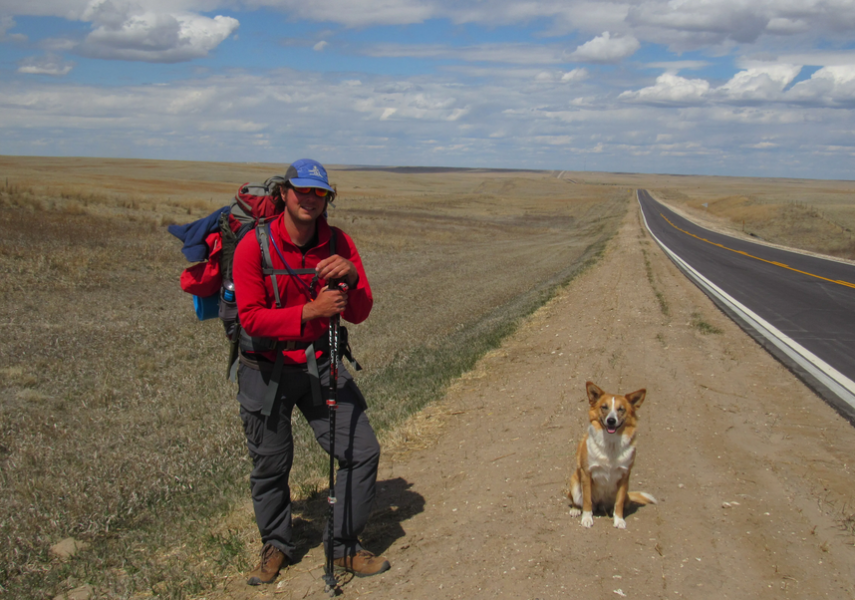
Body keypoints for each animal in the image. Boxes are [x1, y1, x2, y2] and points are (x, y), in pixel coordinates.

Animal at [572, 382, 660, 528]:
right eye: (604, 407)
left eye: (621, 409)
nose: (611, 420)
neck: (611, 444)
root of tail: (600, 504)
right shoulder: (586, 473)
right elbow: (587, 500)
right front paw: (587, 518)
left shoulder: (624, 476)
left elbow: (618, 503)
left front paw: (619, 520)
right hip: (574, 483)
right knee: (578, 500)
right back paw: (575, 510)